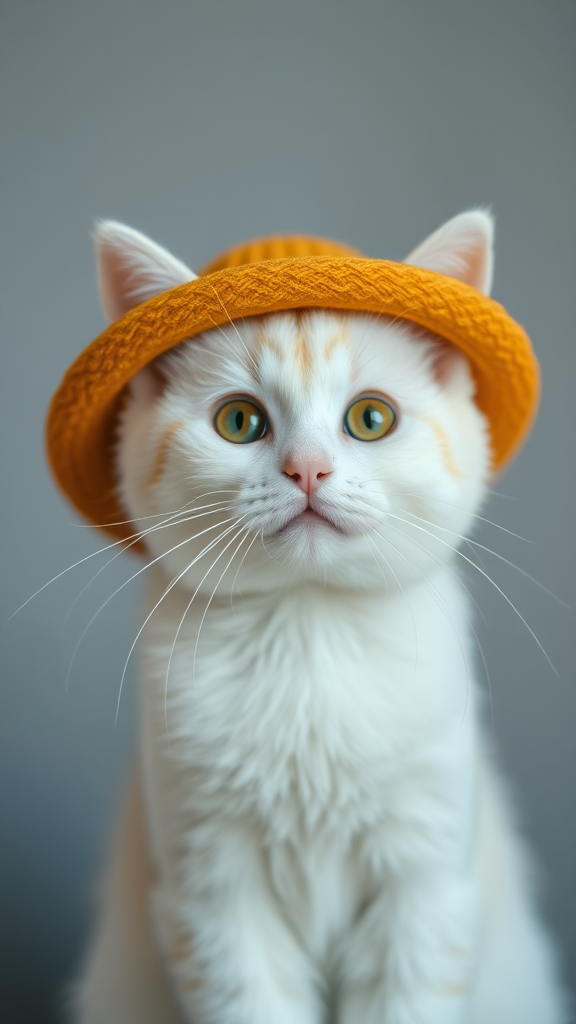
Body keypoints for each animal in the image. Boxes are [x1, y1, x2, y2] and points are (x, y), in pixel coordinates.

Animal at [73, 211, 561, 1019]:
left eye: (371, 417)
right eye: (240, 421)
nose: (308, 469)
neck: (307, 629)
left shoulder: (425, 888)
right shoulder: (211, 895)